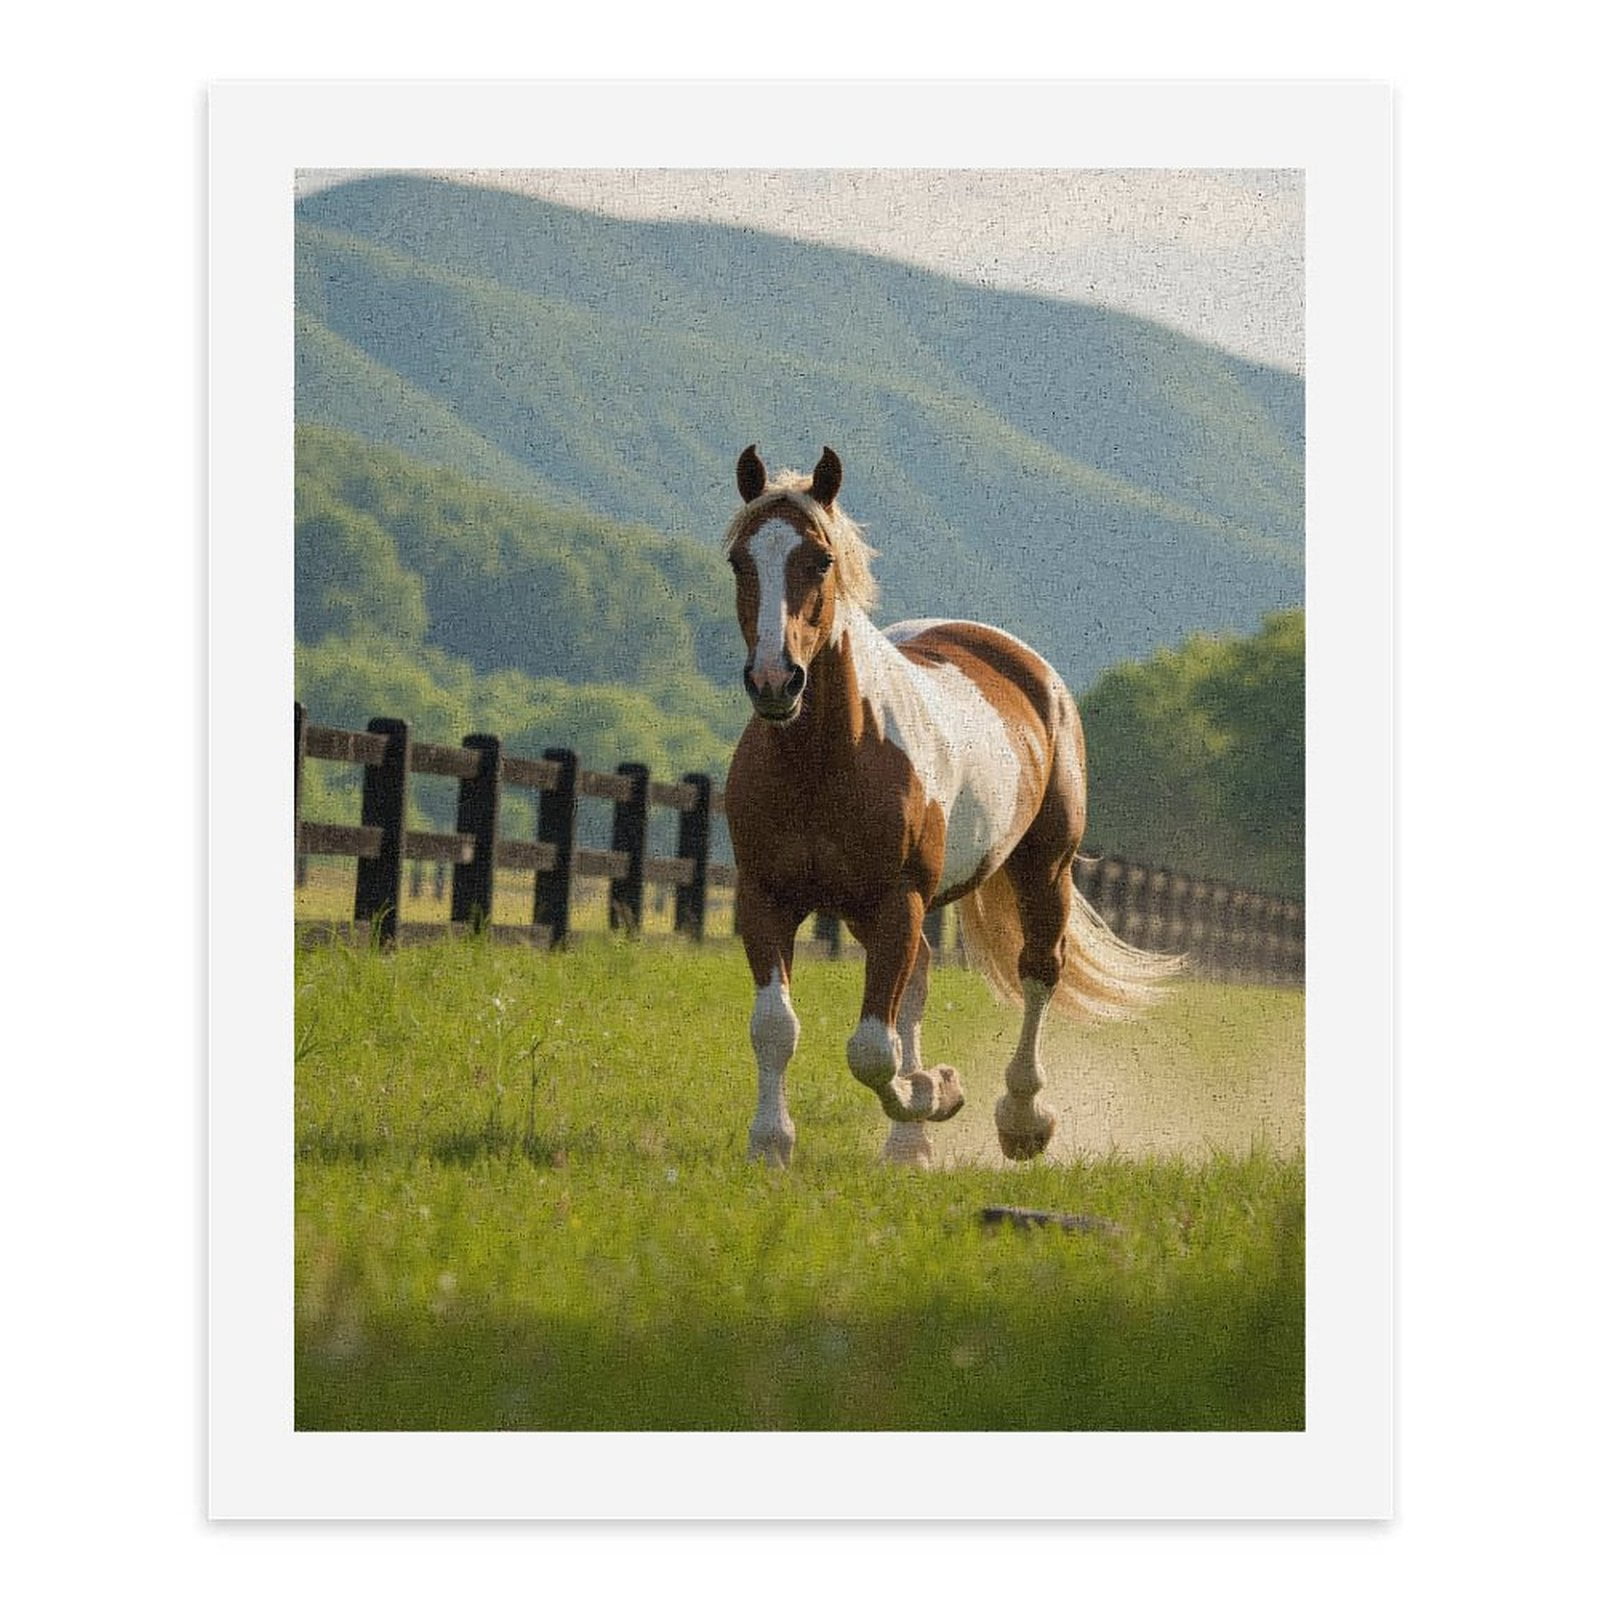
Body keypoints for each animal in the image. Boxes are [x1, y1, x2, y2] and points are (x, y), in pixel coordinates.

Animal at [722, 445, 1183, 1169]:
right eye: (741, 561)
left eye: (819, 560)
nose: (774, 682)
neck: (824, 761)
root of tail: (1020, 661)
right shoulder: (766, 898)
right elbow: (777, 1027)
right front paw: (771, 1144)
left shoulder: (898, 901)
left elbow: (871, 1050)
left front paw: (932, 1090)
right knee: (920, 982)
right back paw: (909, 1145)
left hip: (1043, 871)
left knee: (1038, 974)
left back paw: (1021, 1121)